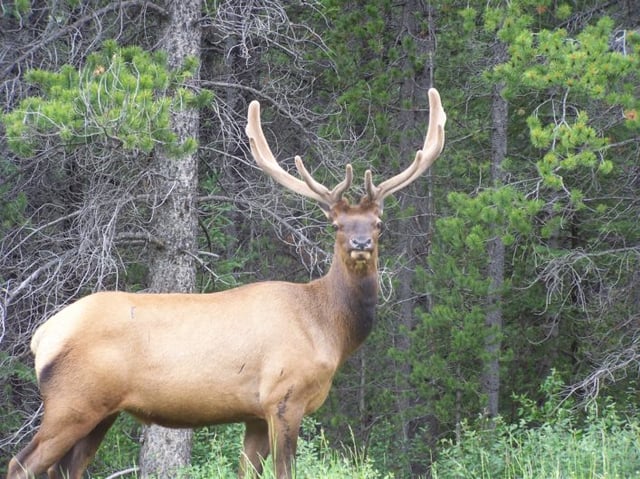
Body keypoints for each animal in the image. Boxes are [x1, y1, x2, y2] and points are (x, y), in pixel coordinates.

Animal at [6, 88, 446, 479]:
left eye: (378, 223)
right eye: (336, 224)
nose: (360, 244)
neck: (328, 328)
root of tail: (42, 336)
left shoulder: (254, 415)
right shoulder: (283, 398)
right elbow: (284, 472)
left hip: (102, 411)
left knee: (65, 468)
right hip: (72, 402)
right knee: (21, 463)